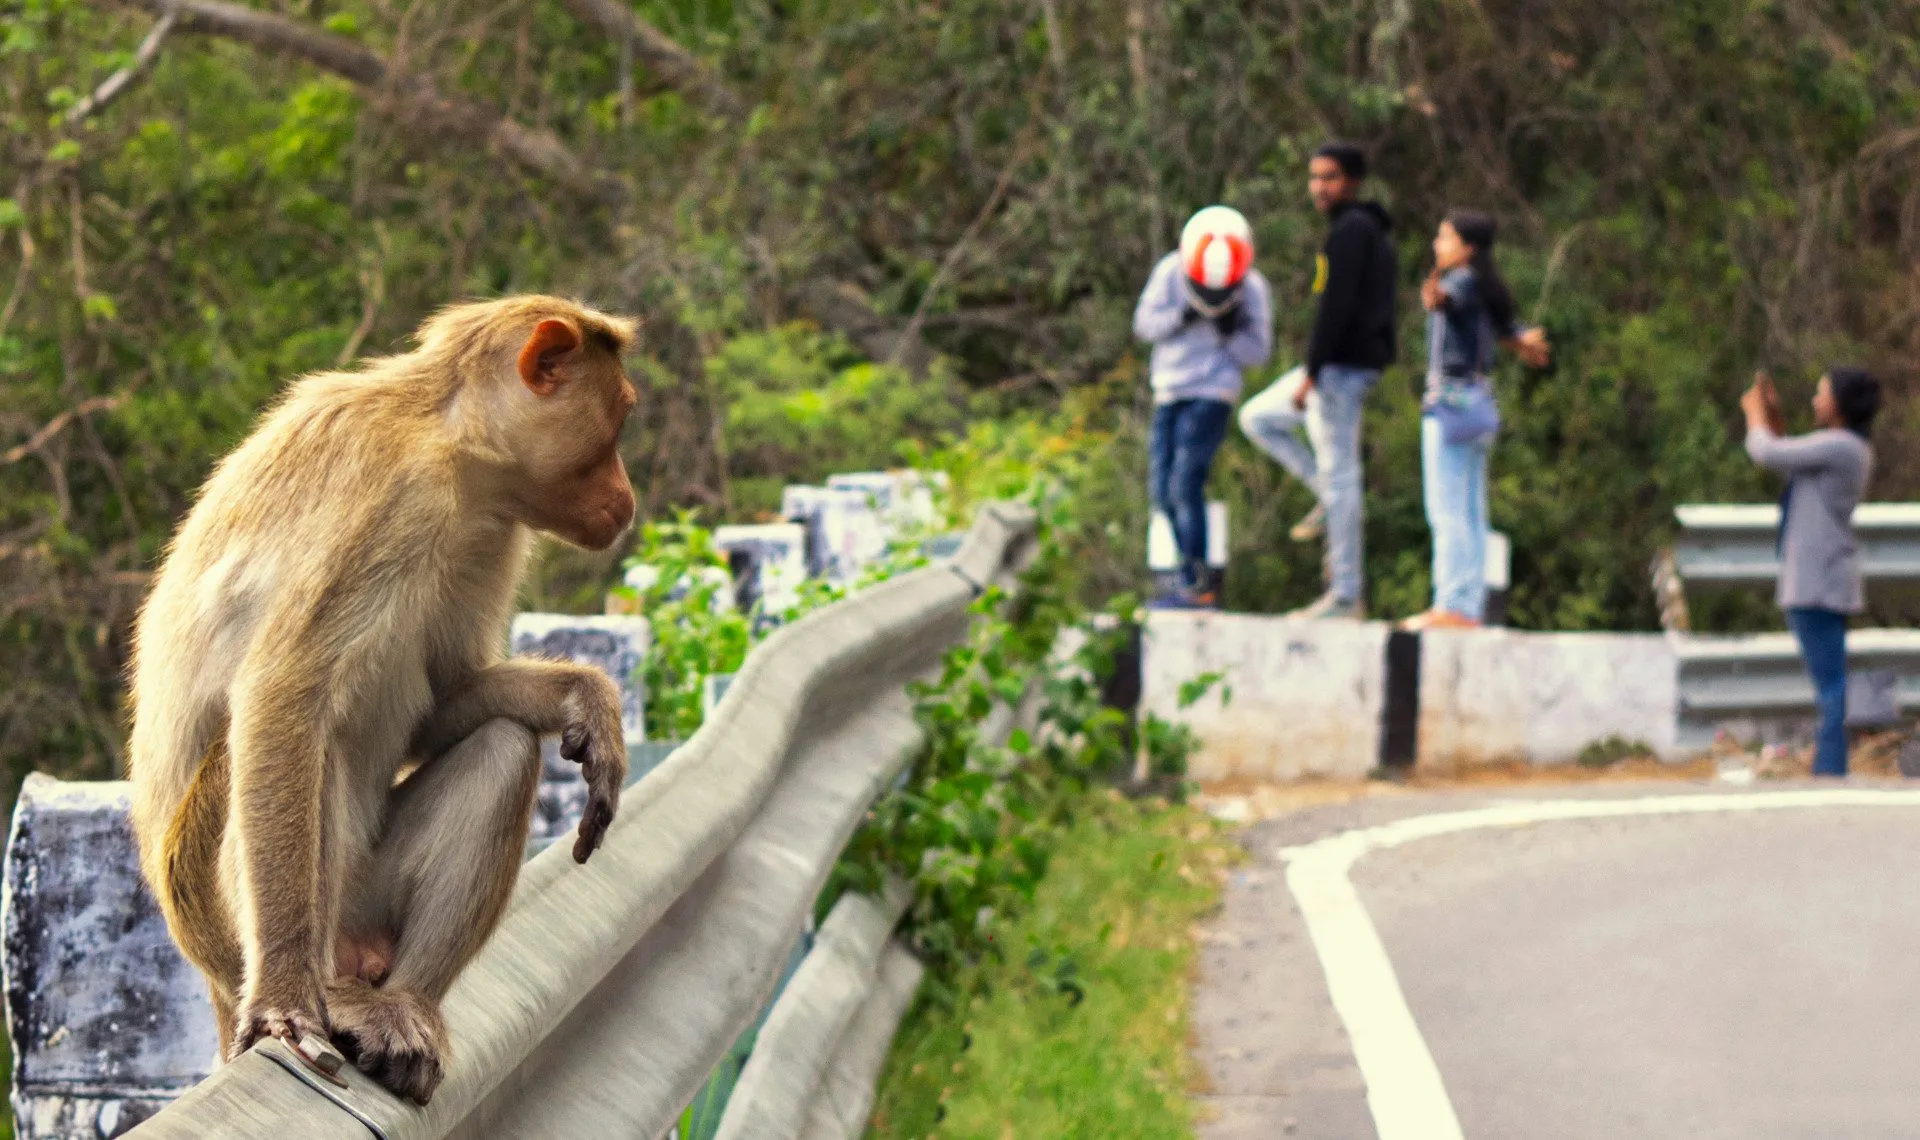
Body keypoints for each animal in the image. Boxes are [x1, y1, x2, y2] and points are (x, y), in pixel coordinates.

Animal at [126, 295, 641, 1105]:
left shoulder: (492, 529)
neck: (453, 444)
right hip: (222, 906)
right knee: (299, 745)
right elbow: (282, 695)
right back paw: (318, 988)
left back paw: (403, 1006)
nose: (628, 498)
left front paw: (585, 702)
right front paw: (282, 1002)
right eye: (617, 421)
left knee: (501, 745)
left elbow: (447, 697)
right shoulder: (391, 498)